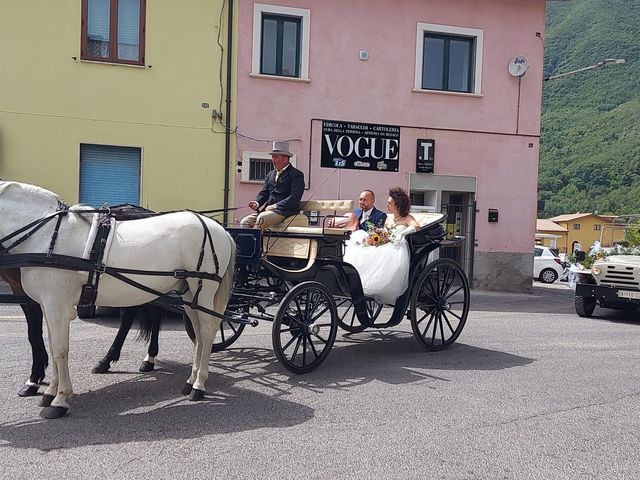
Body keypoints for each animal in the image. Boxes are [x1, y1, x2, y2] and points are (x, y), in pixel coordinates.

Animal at [0, 182, 235, 418]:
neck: (48, 236)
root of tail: (218, 228)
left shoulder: (56, 305)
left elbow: (59, 350)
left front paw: (59, 399)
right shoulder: (48, 305)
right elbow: (51, 345)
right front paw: (50, 391)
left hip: (203, 291)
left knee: (207, 332)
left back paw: (199, 385)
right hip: (188, 294)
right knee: (198, 333)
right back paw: (190, 380)